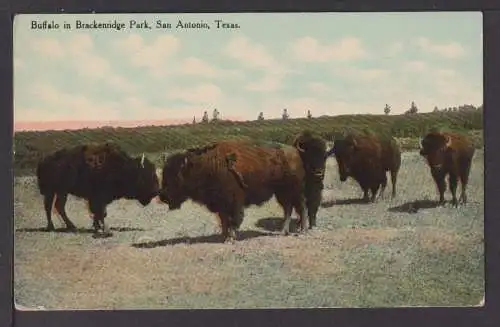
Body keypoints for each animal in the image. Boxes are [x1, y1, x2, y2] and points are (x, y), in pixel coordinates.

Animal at [157, 131, 328, 243]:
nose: (163, 196)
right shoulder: (220, 204)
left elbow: (233, 219)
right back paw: (283, 231)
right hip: (281, 193)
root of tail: (296, 153)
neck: (207, 165)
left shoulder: (233, 201)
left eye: (176, 176)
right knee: (288, 209)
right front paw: (224, 236)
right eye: (164, 174)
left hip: (294, 191)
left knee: (301, 207)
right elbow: (224, 220)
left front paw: (231, 238)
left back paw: (302, 230)